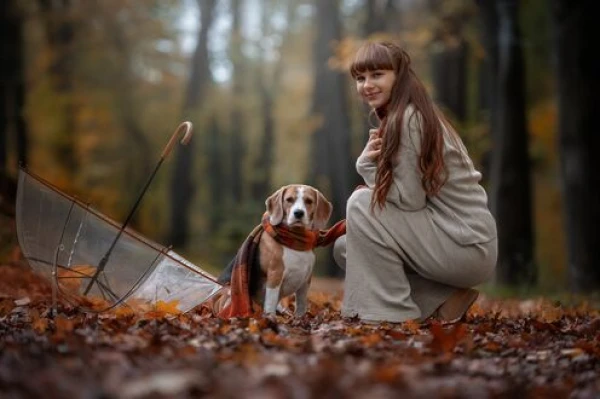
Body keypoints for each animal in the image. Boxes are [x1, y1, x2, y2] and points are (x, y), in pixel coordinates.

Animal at [256, 186, 332, 318]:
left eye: (309, 201)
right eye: (289, 199)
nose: (298, 213)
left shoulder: (306, 280)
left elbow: (301, 304)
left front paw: (300, 319)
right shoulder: (275, 276)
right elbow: (270, 303)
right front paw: (271, 319)